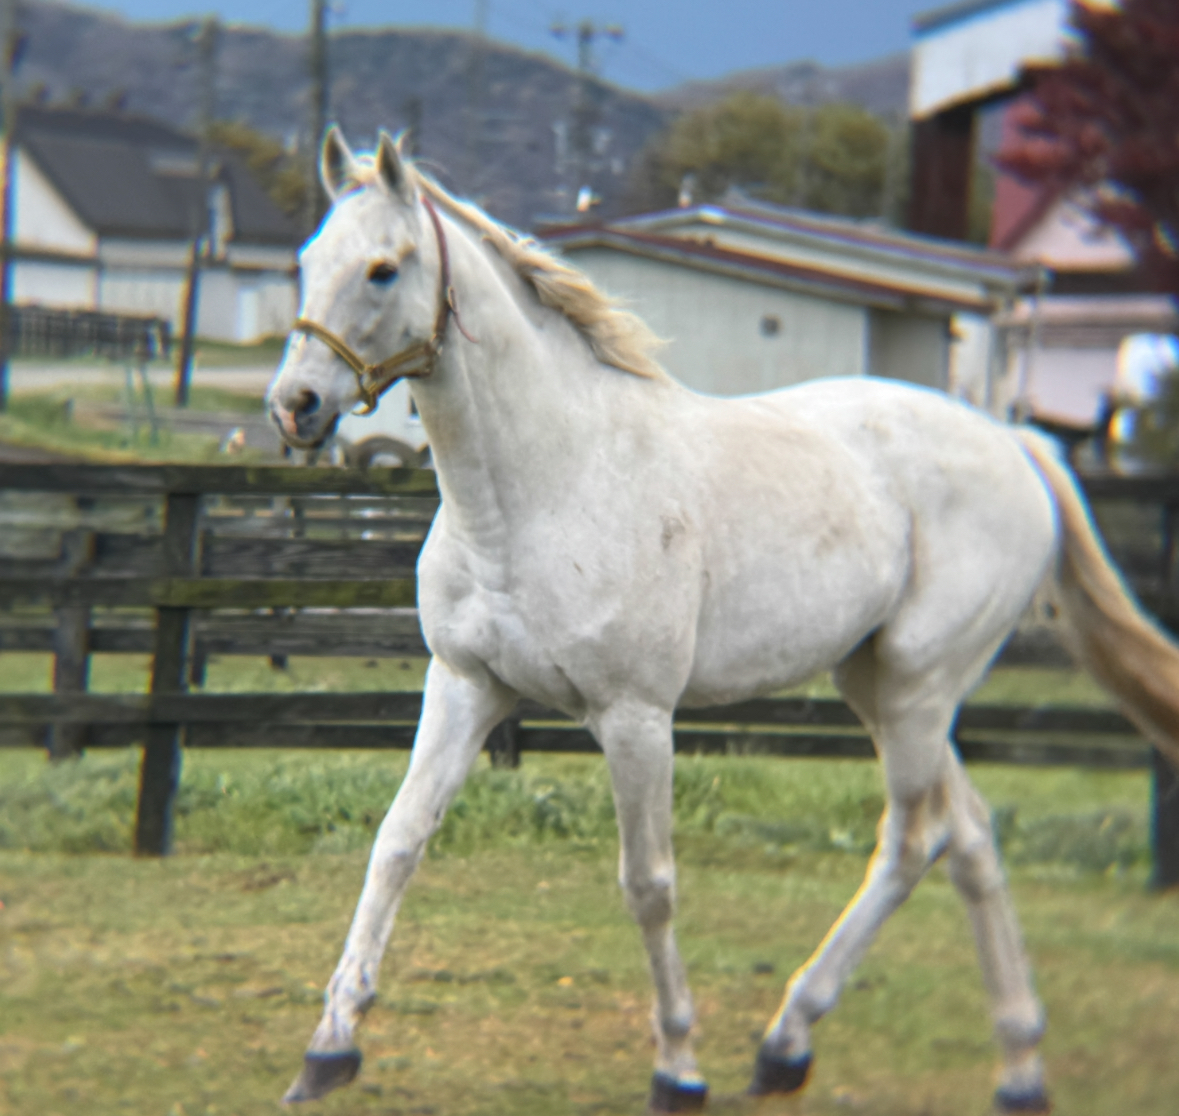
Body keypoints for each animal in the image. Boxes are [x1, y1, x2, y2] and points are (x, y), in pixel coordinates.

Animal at [266, 127, 1179, 1113]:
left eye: (383, 268)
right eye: (306, 259)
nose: (294, 406)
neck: (541, 487)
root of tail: (1015, 443)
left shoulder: (635, 718)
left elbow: (648, 883)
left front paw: (678, 1066)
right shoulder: (466, 687)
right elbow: (396, 843)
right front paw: (328, 1048)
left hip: (917, 689)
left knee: (915, 839)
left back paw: (794, 1041)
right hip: (879, 685)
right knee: (968, 838)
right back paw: (1001, 1064)